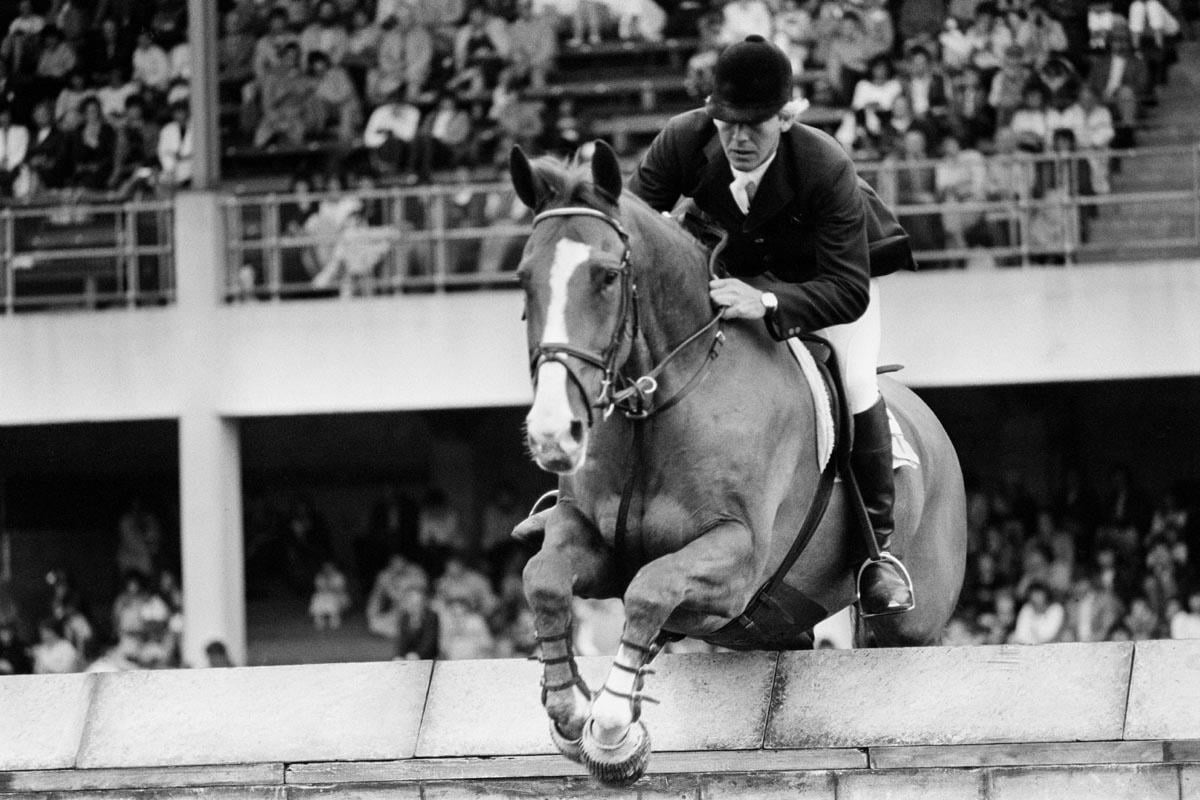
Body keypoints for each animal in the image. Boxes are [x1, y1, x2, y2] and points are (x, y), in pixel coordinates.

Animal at [511, 140, 969, 786]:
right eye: (524, 280)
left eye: (606, 276)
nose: (554, 433)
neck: (659, 406)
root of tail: (931, 427)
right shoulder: (592, 538)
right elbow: (545, 577)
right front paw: (569, 709)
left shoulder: (737, 557)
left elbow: (650, 589)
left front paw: (613, 730)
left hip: (910, 623)